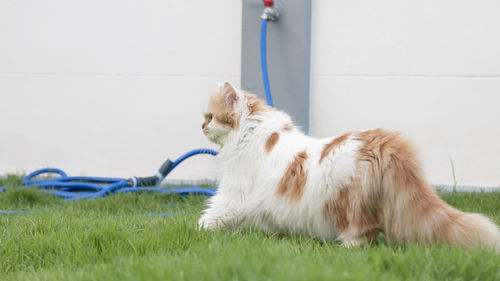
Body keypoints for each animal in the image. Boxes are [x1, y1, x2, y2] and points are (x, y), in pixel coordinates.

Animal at [199, 82, 500, 250]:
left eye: (210, 116)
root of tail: (383, 141)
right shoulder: (268, 202)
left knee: (363, 233)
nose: (201, 127)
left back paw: (345, 249)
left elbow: (212, 215)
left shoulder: (234, 192)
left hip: (349, 204)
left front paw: (201, 230)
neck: (250, 132)